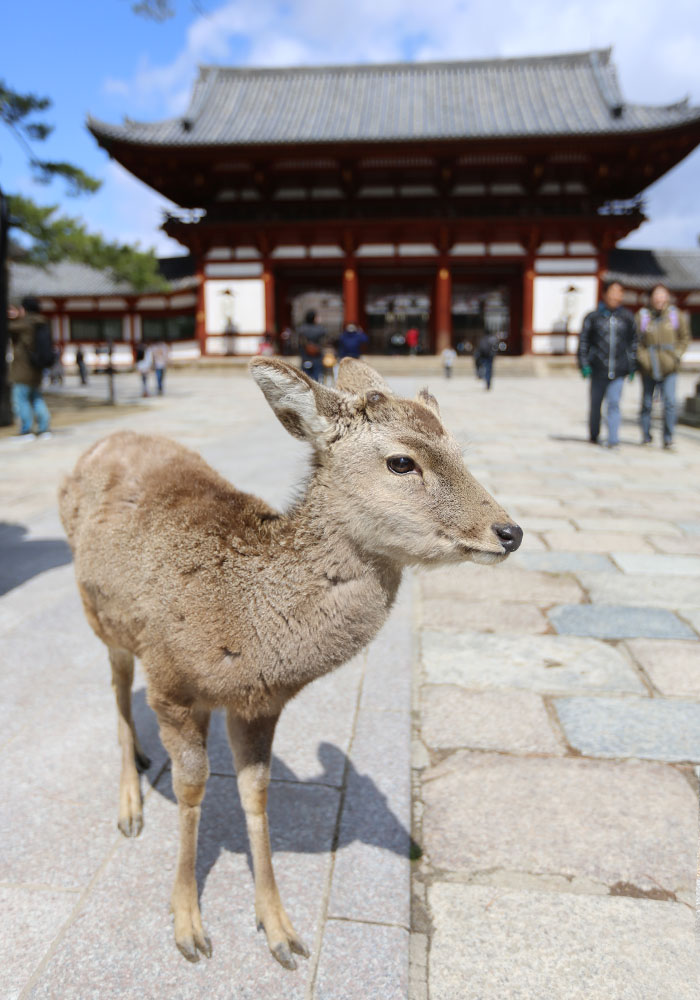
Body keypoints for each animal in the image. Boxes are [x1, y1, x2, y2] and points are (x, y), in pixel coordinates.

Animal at [57, 358, 524, 968]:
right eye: (402, 461)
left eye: (459, 449)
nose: (510, 532)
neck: (243, 630)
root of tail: (104, 441)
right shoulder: (170, 681)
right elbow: (191, 788)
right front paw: (188, 926)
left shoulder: (262, 705)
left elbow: (256, 791)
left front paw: (280, 929)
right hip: (100, 615)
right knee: (116, 685)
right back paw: (130, 804)